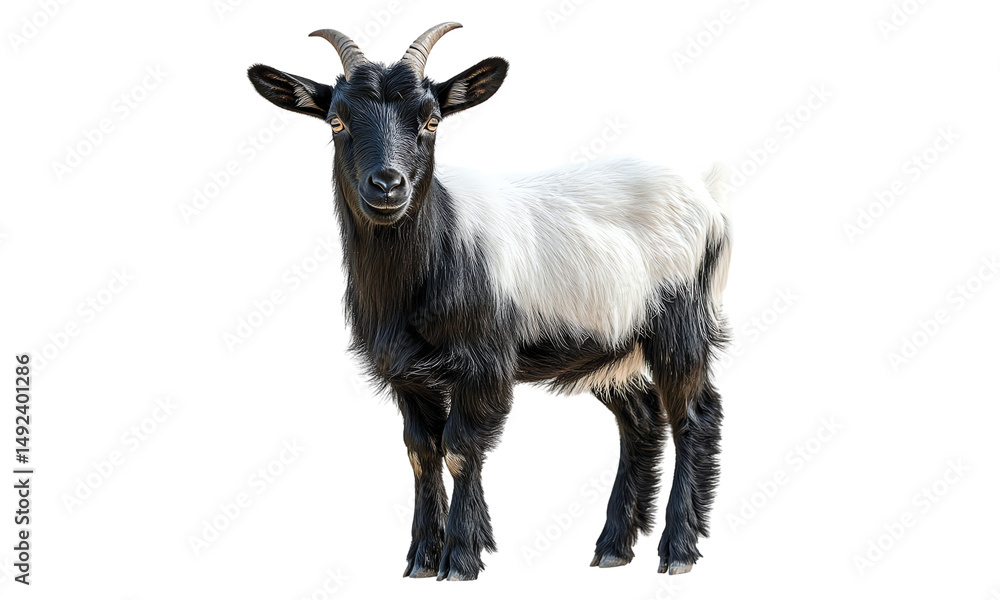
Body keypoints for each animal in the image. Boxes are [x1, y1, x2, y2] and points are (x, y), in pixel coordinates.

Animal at [248, 22, 733, 580]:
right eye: (336, 121)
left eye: (432, 120)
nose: (388, 185)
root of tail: (708, 197)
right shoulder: (407, 374)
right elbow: (421, 453)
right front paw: (421, 558)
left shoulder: (484, 363)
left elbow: (460, 450)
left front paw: (460, 556)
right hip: (610, 346)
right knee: (642, 421)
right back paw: (613, 546)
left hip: (681, 322)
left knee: (695, 417)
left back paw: (678, 549)